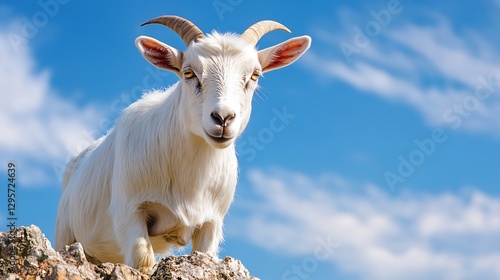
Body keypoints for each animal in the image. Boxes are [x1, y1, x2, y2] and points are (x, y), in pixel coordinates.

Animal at [56, 15, 310, 274]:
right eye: (188, 73)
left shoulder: (212, 223)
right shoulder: (129, 211)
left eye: (255, 75)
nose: (223, 118)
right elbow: (143, 261)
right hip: (65, 234)